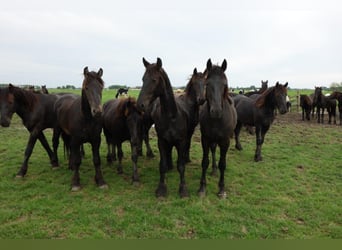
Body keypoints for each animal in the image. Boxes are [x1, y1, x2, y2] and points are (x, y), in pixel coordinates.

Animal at [137, 57, 206, 197]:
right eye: (143, 79)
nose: (140, 104)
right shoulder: (162, 141)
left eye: (154, 80)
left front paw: (183, 189)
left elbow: (181, 165)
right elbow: (162, 165)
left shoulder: (182, 139)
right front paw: (161, 188)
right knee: (145, 135)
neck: (172, 116)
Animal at [198, 58, 238, 197]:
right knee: (213, 150)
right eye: (207, 83)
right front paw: (202, 188)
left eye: (224, 84)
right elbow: (205, 162)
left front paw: (221, 189)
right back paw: (214, 170)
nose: (216, 111)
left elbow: (223, 164)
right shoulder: (205, 139)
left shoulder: (225, 141)